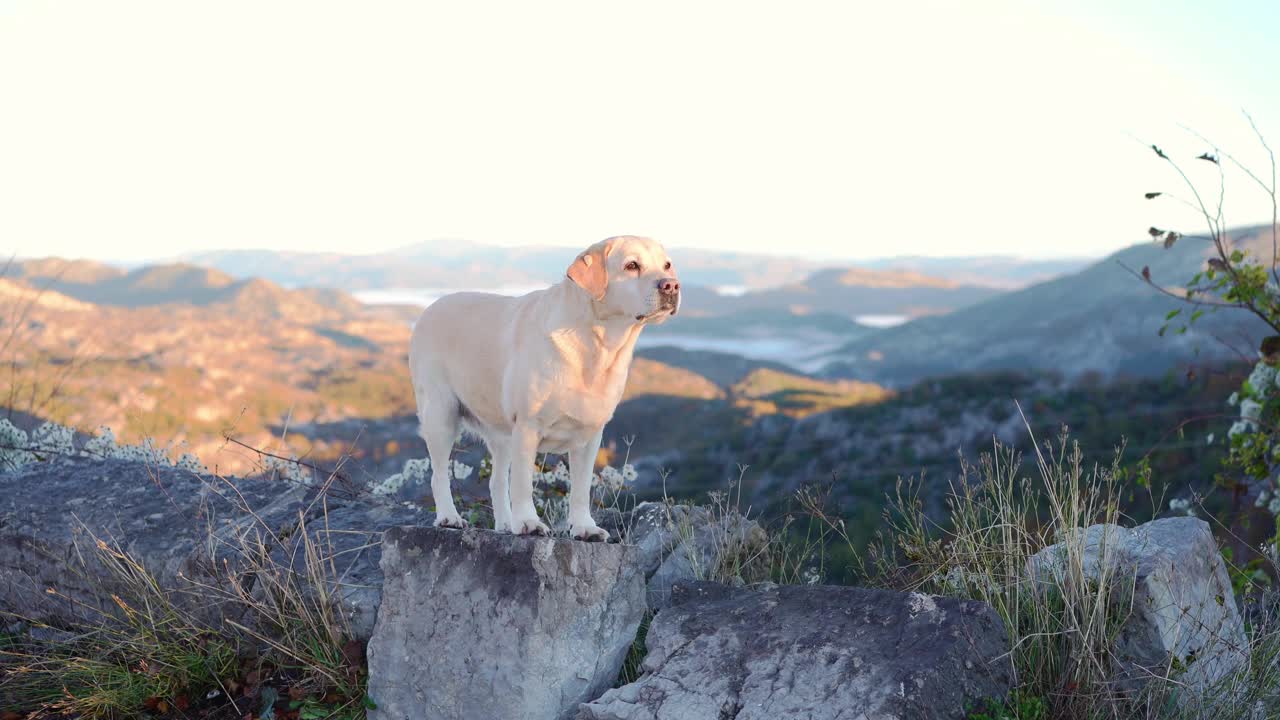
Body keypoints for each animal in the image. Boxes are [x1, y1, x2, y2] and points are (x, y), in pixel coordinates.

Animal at [409, 235, 680, 538]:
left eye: (667, 265)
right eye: (632, 265)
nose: (671, 285)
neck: (596, 346)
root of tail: (431, 307)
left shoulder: (590, 436)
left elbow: (581, 489)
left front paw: (585, 527)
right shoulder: (528, 425)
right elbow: (523, 483)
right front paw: (528, 522)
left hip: (501, 433)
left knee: (496, 481)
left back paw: (505, 524)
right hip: (441, 414)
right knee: (439, 475)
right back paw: (449, 517)